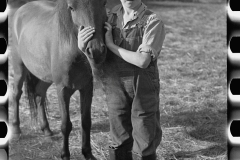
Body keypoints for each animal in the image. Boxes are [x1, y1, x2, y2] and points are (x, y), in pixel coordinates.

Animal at [9, 0, 107, 159]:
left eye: (103, 3)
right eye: (71, 8)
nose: (96, 50)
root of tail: (21, 9)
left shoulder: (87, 88)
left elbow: (86, 122)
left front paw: (88, 153)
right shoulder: (62, 90)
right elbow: (66, 125)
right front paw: (65, 155)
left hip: (45, 77)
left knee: (39, 95)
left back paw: (46, 130)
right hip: (19, 69)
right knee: (16, 95)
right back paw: (16, 130)